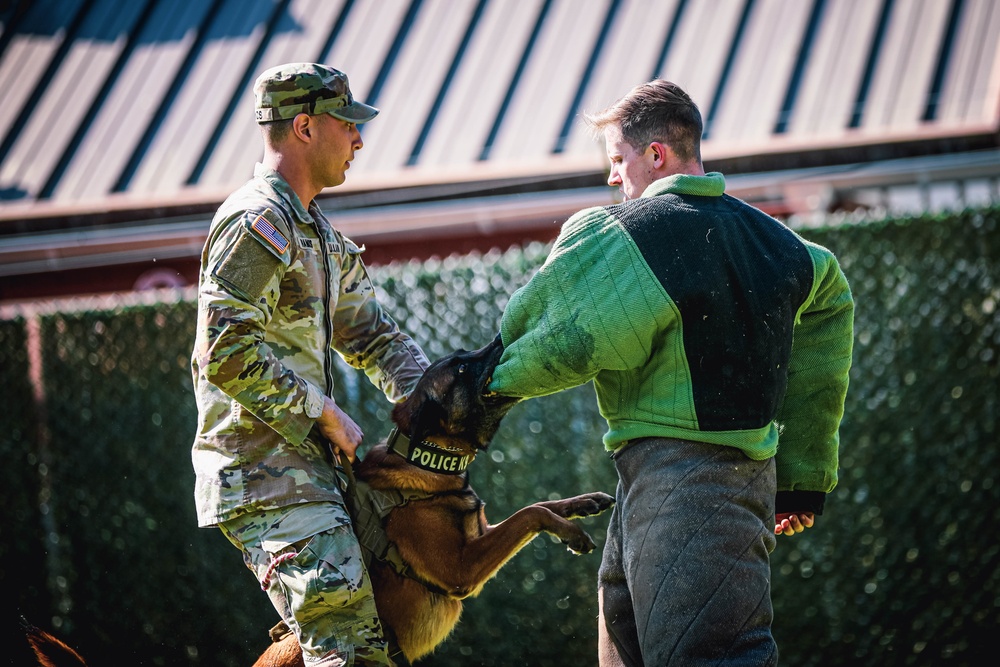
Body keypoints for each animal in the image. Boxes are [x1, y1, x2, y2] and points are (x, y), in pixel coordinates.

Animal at [256, 340, 616, 667]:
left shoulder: (480, 535)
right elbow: (530, 513)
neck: (428, 461)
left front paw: (585, 503)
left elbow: (541, 505)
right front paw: (572, 533)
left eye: (464, 354)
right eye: (461, 369)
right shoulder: (461, 570)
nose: (500, 337)